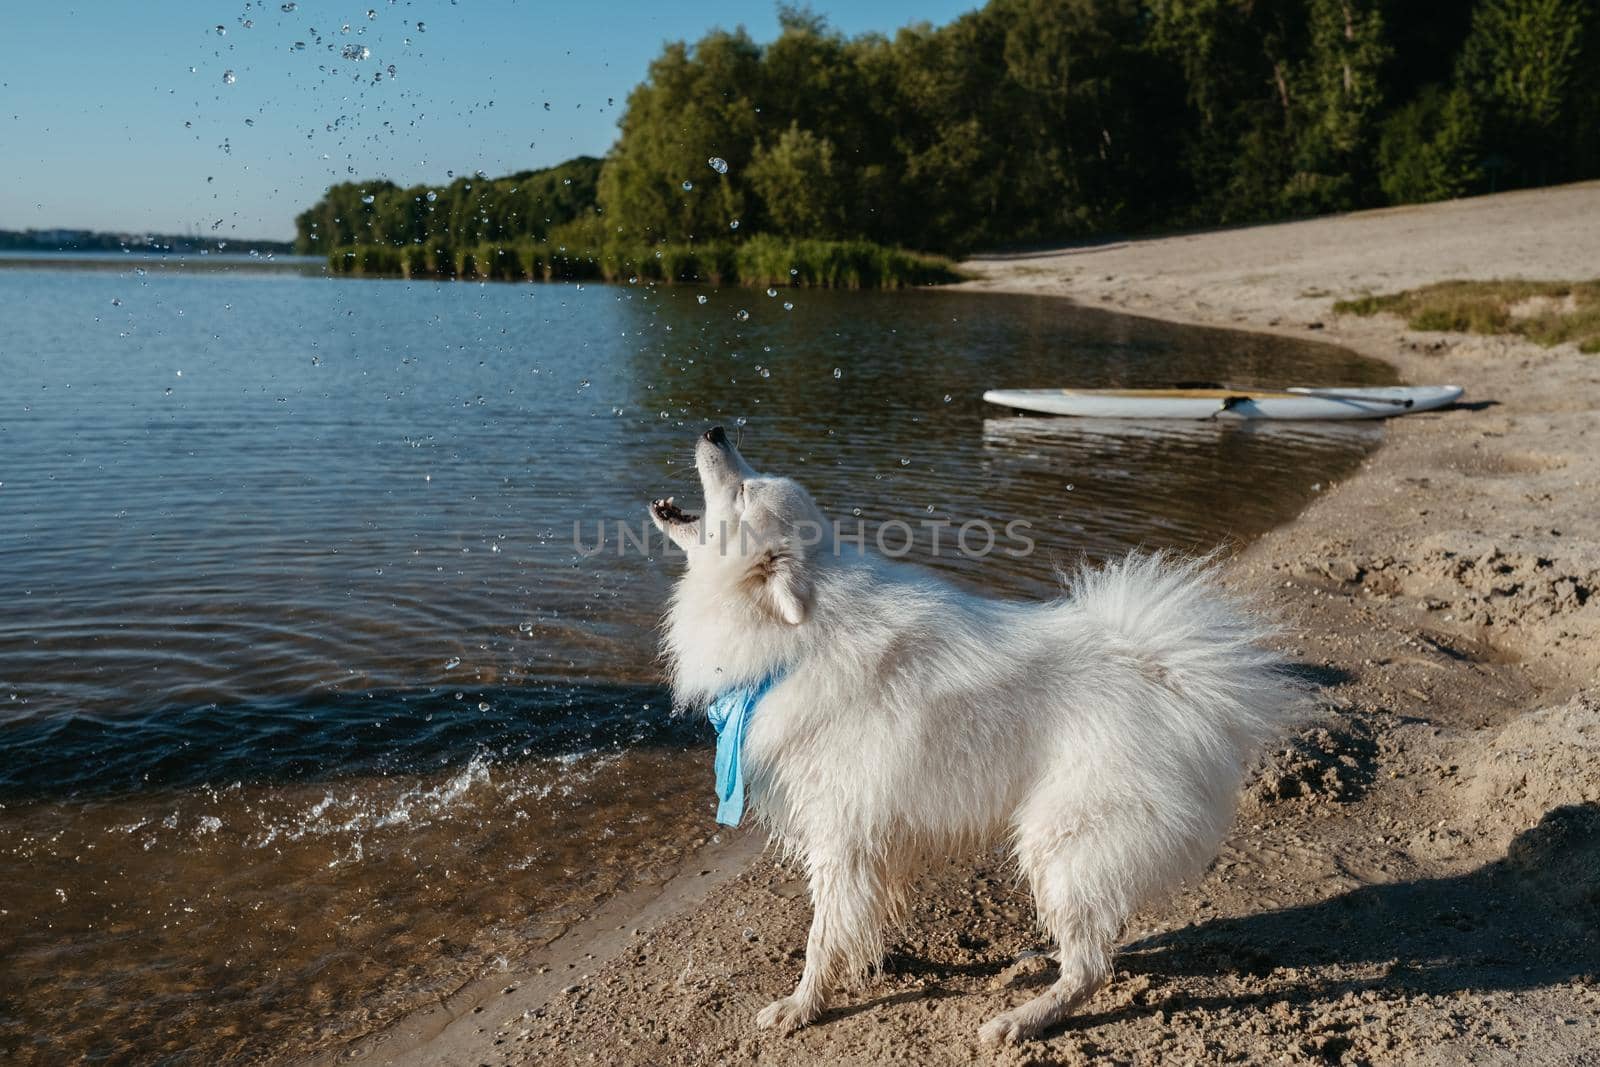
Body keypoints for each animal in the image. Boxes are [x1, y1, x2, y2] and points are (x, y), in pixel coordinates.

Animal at [649, 422, 1299, 1043]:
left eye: (744, 490)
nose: (715, 432)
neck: (797, 637)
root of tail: (1173, 679)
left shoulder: (839, 836)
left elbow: (821, 937)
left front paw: (802, 1006)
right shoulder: (870, 842)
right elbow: (859, 922)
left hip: (1058, 845)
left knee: (1091, 968)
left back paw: (1021, 1020)